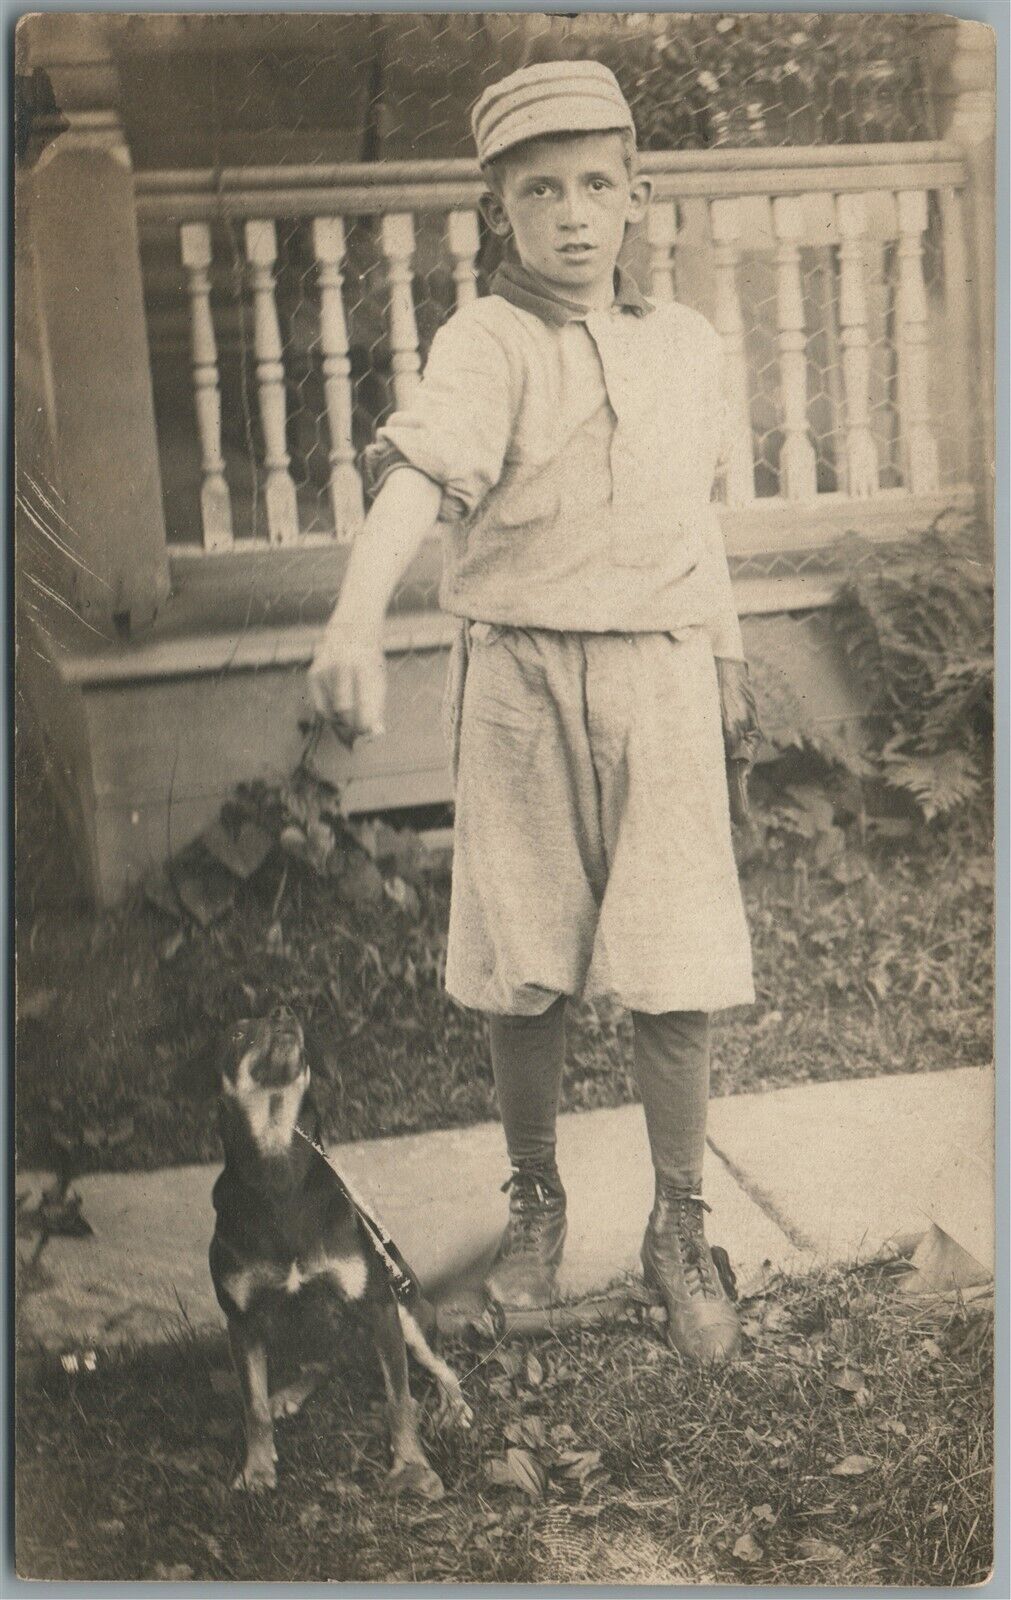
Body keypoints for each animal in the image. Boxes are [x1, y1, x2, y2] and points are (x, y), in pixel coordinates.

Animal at [211, 1004, 473, 1491]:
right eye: (236, 1034)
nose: (283, 1013)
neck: (279, 1174)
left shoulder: (380, 1306)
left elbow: (399, 1400)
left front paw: (411, 1466)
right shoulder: (242, 1321)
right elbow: (253, 1407)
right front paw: (257, 1469)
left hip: (409, 1312)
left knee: (441, 1367)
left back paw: (455, 1406)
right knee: (319, 1364)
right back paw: (289, 1393)